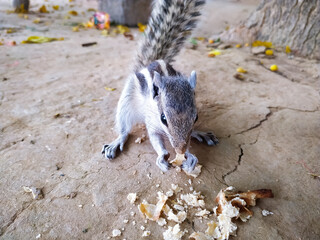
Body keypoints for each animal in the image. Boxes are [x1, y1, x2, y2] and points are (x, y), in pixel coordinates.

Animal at [101, 0, 219, 172]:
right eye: (163, 118)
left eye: (196, 117)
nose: (180, 149)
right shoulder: (152, 122)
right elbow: (155, 138)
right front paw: (162, 156)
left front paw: (189, 156)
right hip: (126, 101)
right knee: (124, 126)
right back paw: (117, 141)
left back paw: (199, 134)